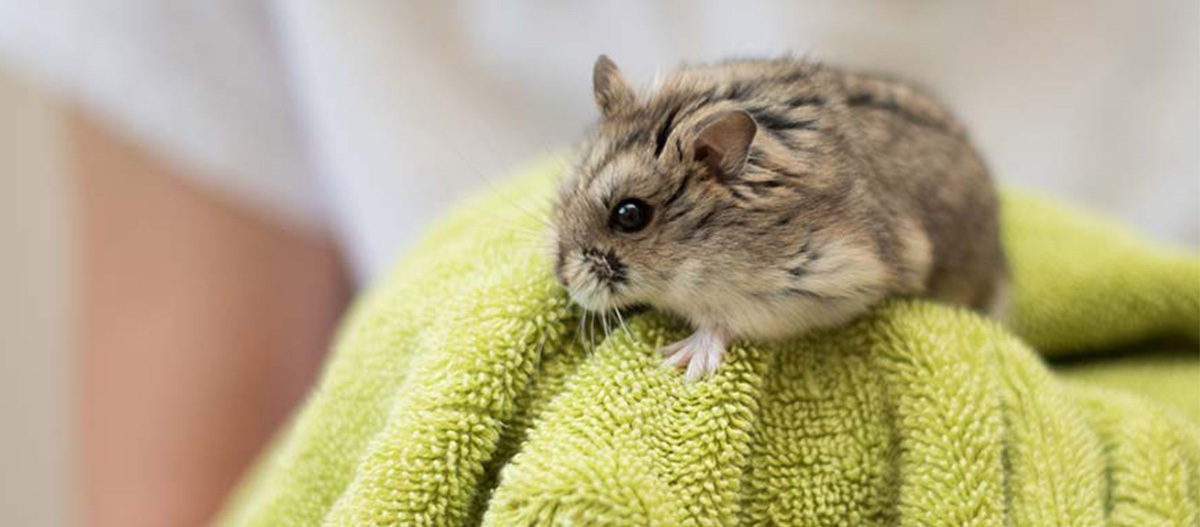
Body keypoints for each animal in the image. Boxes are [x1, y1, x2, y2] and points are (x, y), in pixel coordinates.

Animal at [551, 55, 1007, 380]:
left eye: (629, 215)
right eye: (568, 190)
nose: (563, 280)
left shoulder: (821, 280)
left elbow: (724, 321)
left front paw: (683, 359)